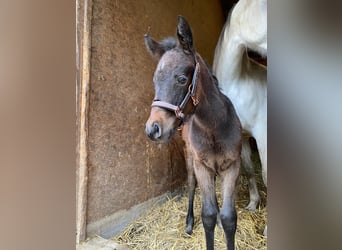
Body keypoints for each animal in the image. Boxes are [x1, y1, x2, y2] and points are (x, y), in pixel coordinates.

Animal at [145, 16, 243, 249]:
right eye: (155, 80)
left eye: (181, 79)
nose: (153, 129)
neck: (213, 127)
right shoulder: (202, 166)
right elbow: (208, 215)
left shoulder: (232, 166)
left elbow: (228, 218)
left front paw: (222, 222)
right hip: (191, 159)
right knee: (191, 185)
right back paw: (189, 222)